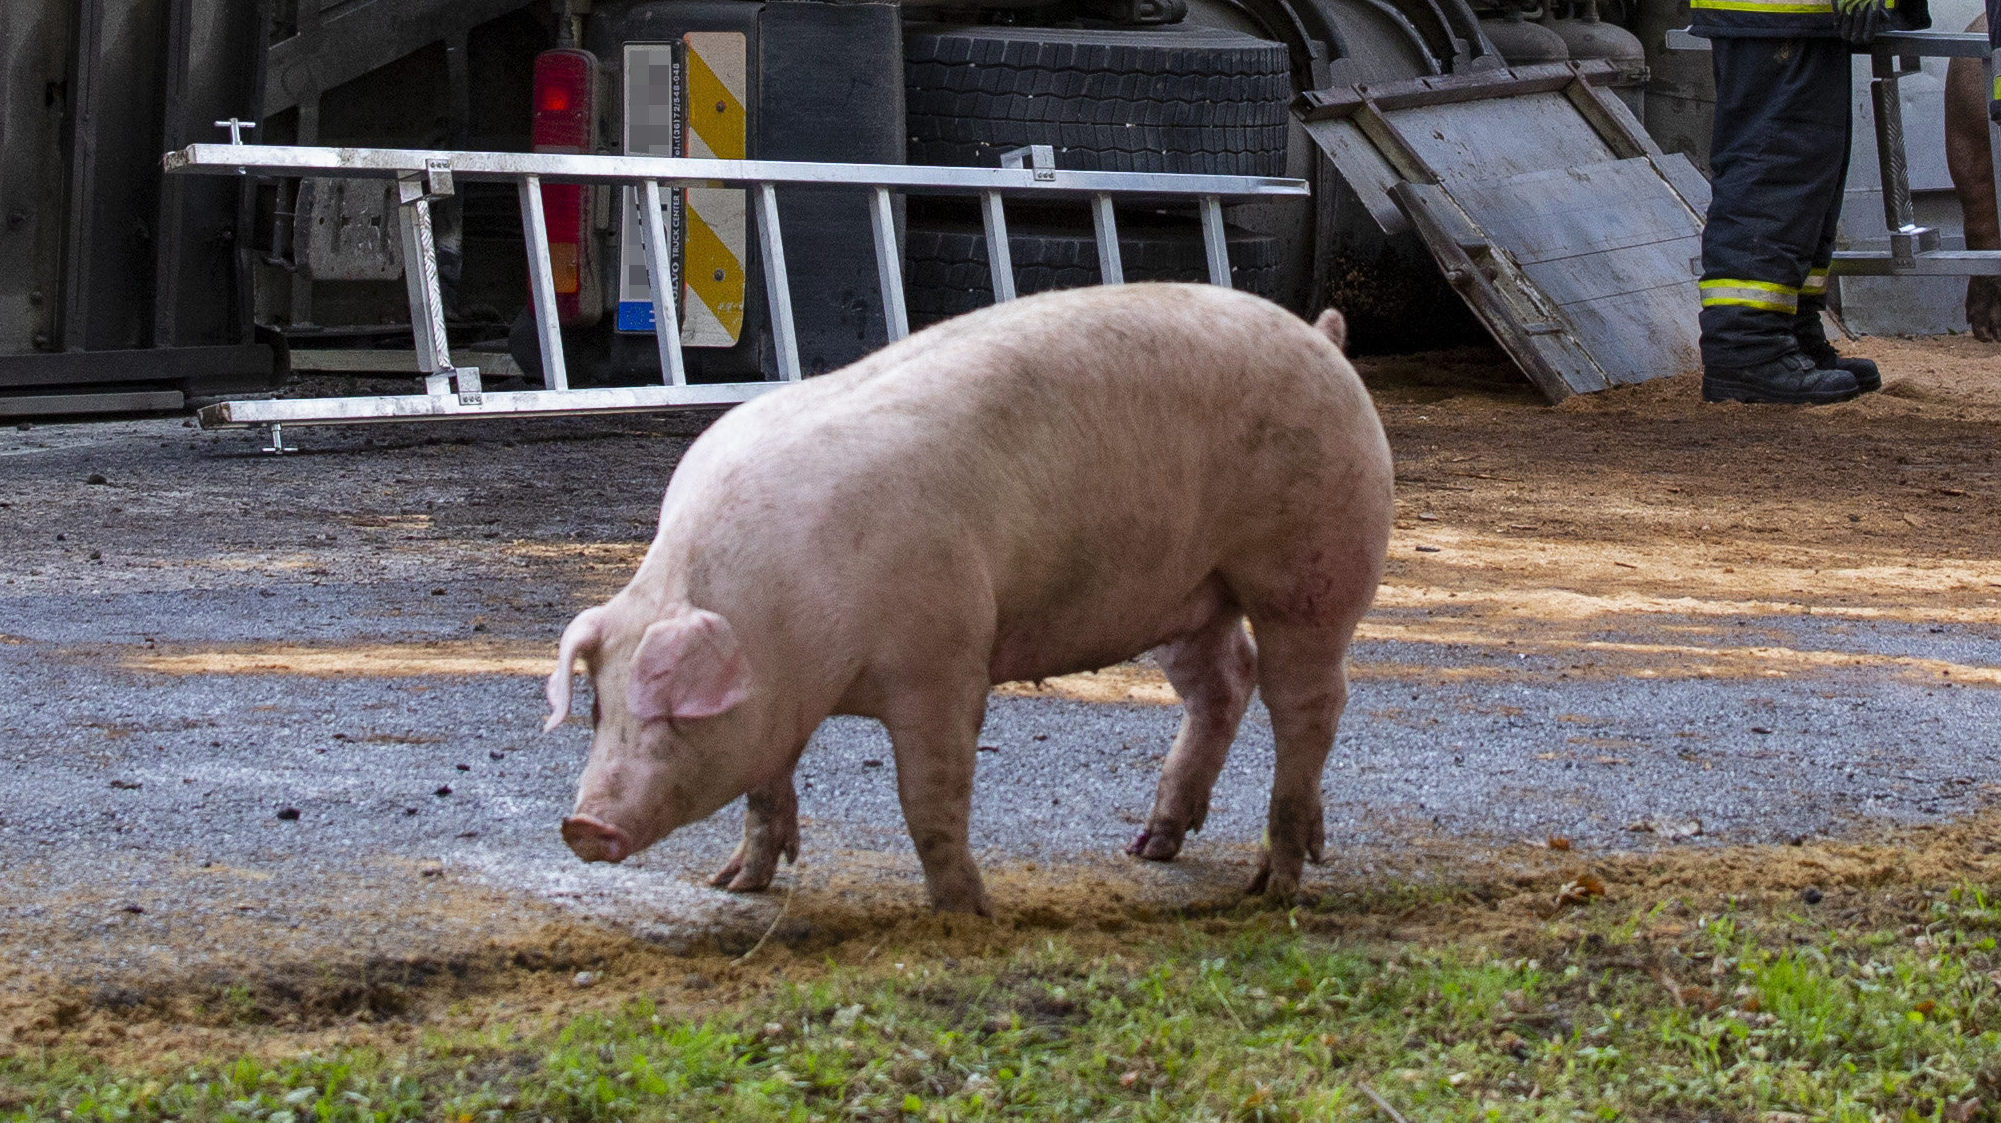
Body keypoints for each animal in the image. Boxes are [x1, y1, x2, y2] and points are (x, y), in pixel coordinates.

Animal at [548, 280, 1392, 912]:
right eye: (599, 706)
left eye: (672, 709)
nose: (583, 824)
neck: (791, 628)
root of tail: (1321, 337)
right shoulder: (777, 702)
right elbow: (764, 786)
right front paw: (733, 884)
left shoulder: (944, 659)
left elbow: (930, 793)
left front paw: (966, 910)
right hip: (1189, 591)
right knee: (1224, 680)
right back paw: (1151, 846)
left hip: (1311, 567)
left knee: (1310, 699)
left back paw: (1273, 882)